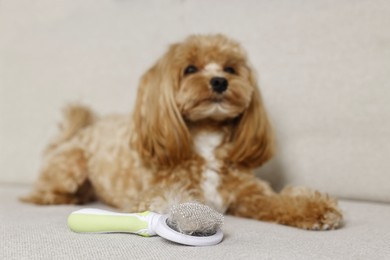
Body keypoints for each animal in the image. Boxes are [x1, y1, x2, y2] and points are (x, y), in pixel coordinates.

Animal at [22, 34, 342, 230]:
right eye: (190, 69)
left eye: (231, 68)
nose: (219, 81)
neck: (206, 139)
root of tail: (78, 133)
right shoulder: (159, 189)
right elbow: (172, 201)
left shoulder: (248, 194)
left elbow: (277, 200)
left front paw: (315, 208)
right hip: (71, 165)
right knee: (42, 190)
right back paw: (55, 197)